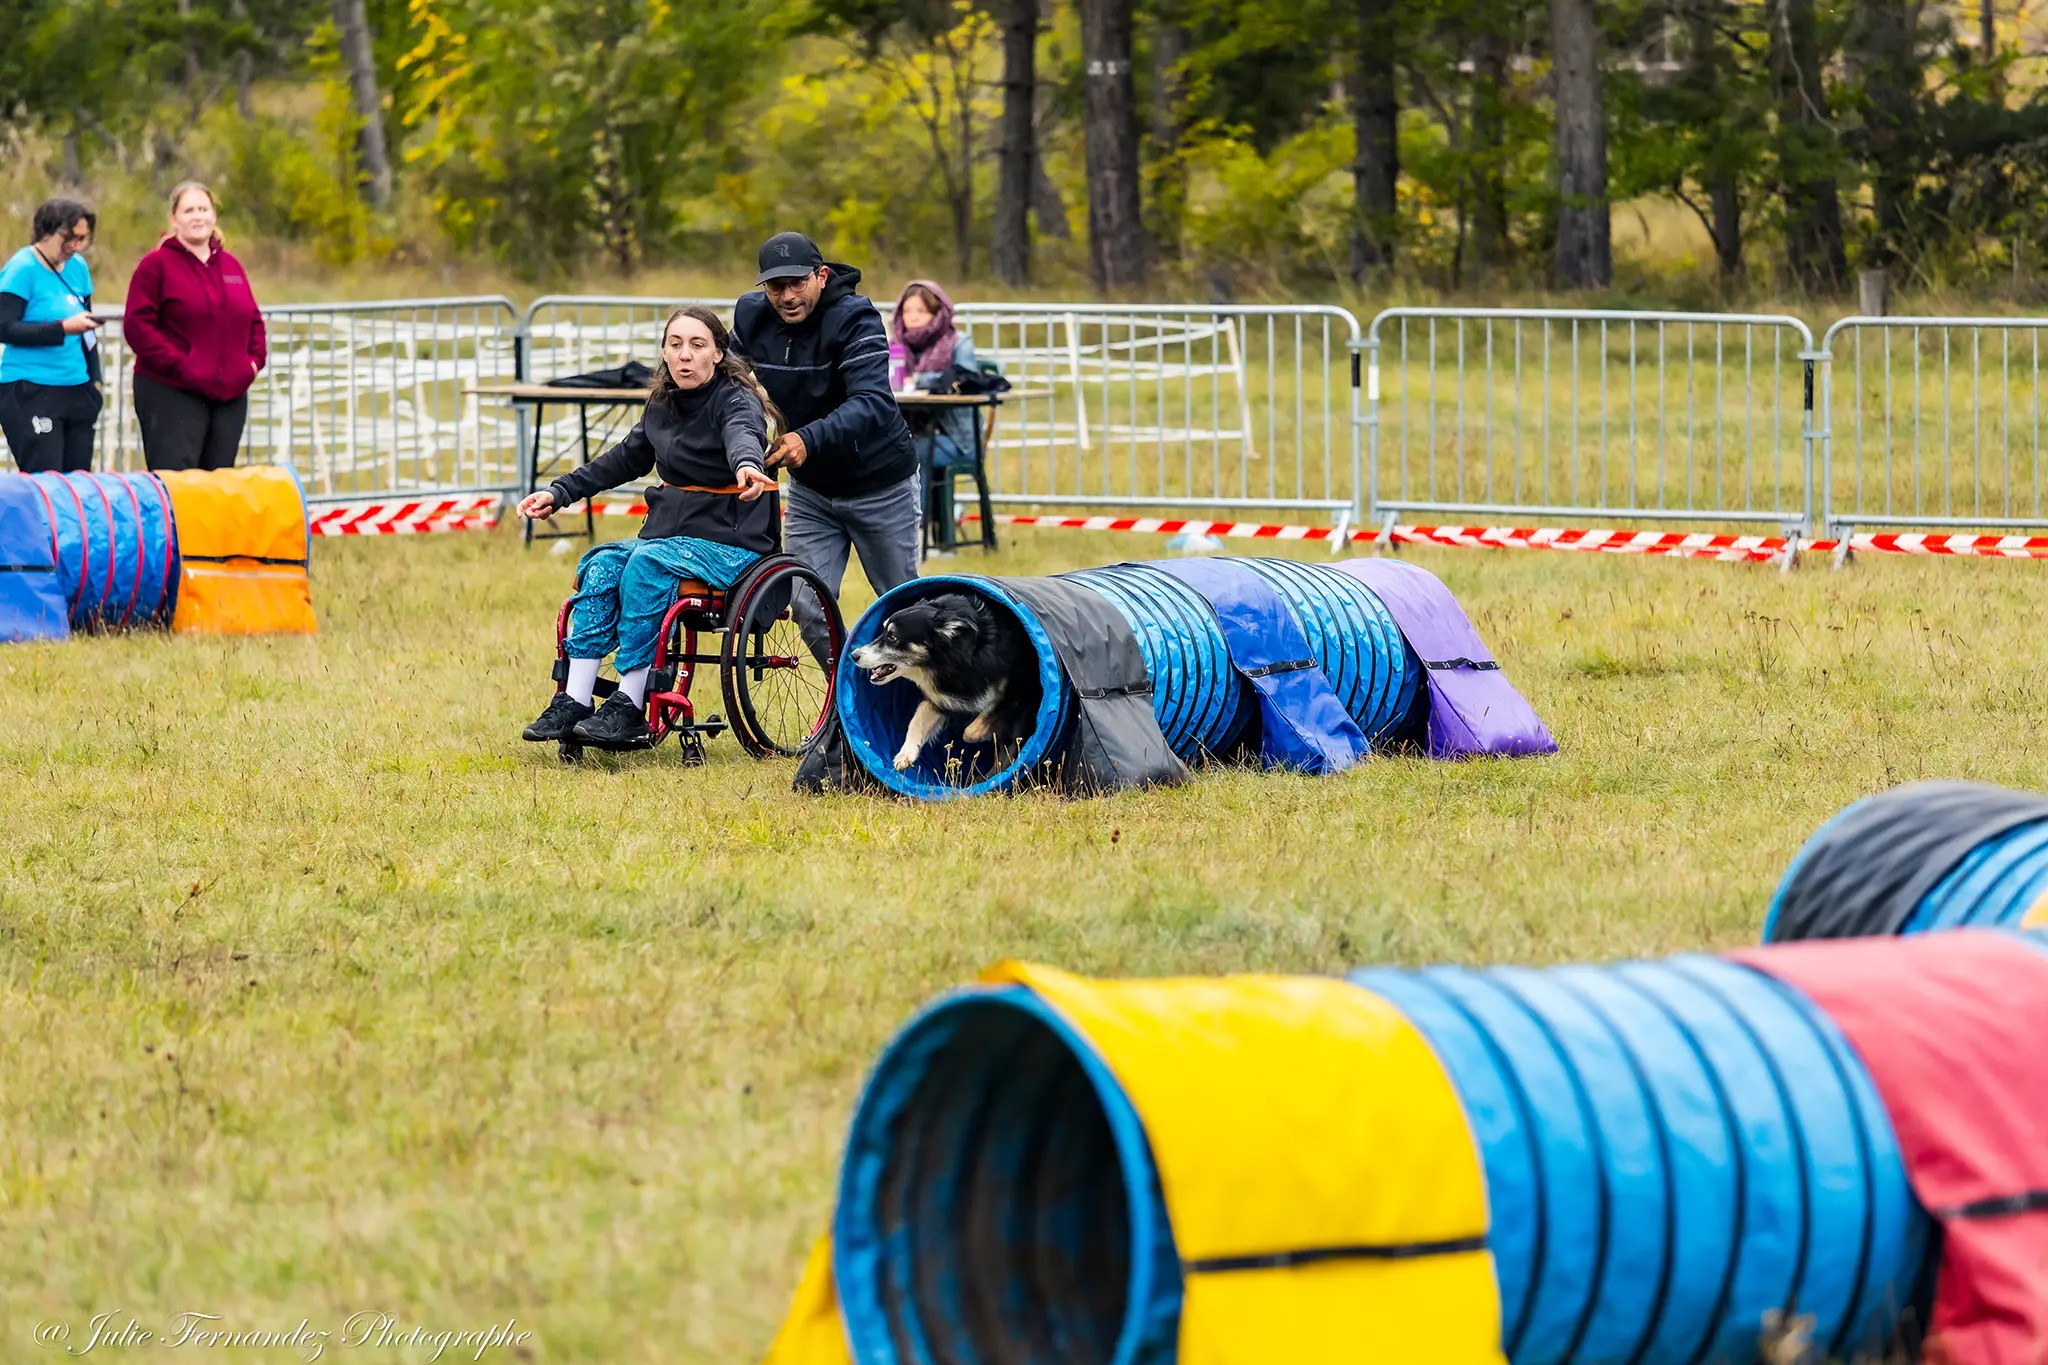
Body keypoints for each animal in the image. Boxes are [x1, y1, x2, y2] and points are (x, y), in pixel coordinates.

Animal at [851, 593, 1040, 773]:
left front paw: (985, 735)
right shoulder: (939, 697)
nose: (854, 655)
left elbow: (970, 732)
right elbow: (916, 721)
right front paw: (905, 755)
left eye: (892, 637)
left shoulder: (1013, 691)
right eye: (883, 631)